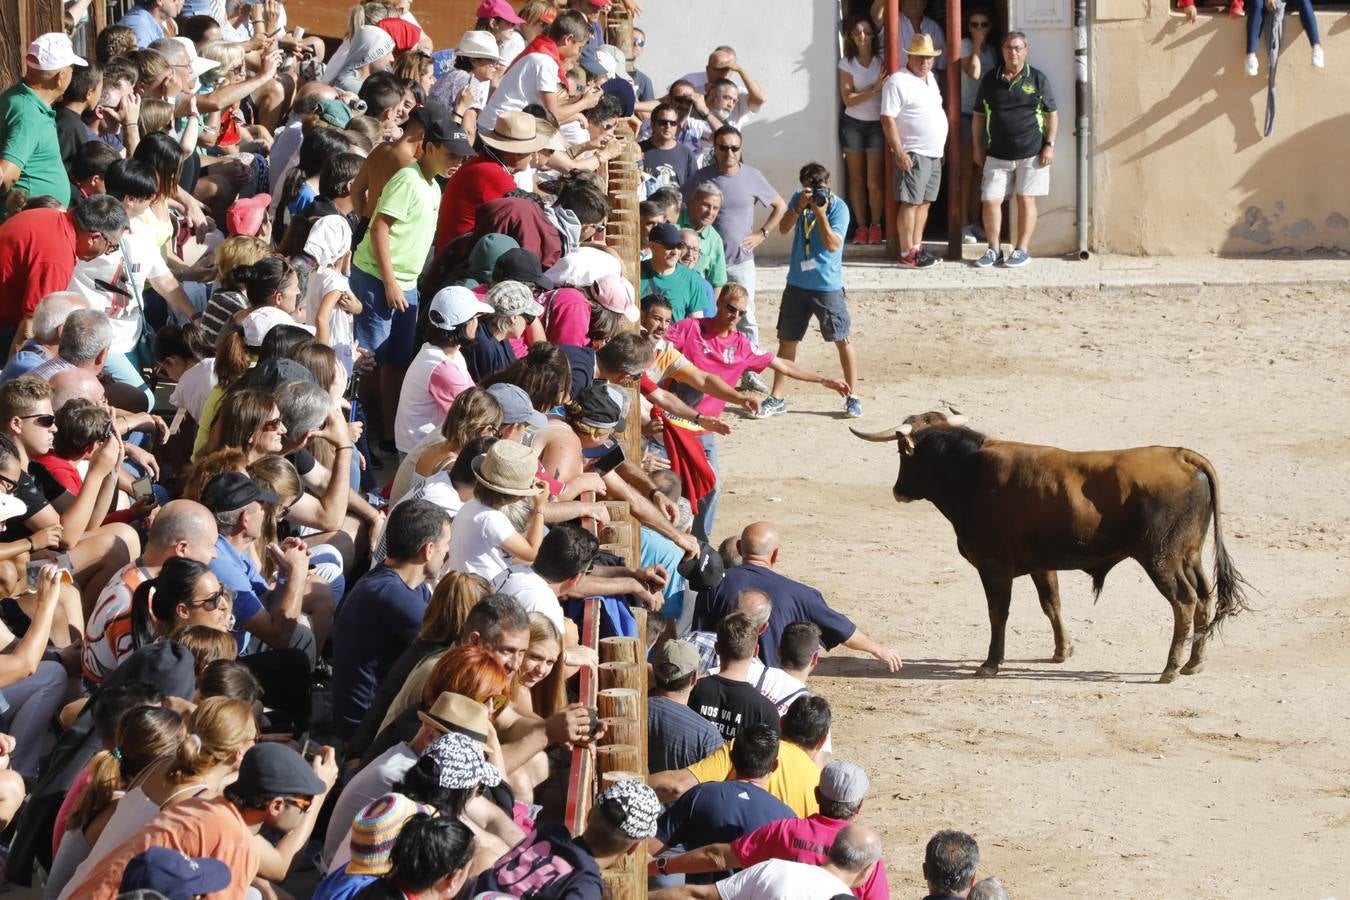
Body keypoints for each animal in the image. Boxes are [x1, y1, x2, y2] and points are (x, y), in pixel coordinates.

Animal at [858, 412, 1247, 682]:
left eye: (902, 453)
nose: (898, 490)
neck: (970, 472)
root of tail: (1183, 456)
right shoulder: (1040, 564)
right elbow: (1052, 604)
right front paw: (1063, 651)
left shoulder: (994, 566)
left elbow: (998, 613)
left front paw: (990, 664)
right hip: (1189, 555)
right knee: (1205, 595)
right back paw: (1194, 663)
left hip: (1160, 559)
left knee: (1184, 602)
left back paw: (1170, 668)